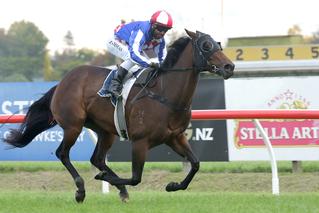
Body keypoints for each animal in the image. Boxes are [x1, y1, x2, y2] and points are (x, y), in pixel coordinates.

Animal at [3, 29, 235, 202]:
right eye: (206, 46)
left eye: (218, 44)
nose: (229, 66)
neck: (165, 94)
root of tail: (62, 82)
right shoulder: (140, 141)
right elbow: (135, 177)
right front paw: (108, 180)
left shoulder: (174, 137)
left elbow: (195, 164)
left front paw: (173, 185)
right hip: (73, 126)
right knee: (63, 153)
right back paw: (81, 190)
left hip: (105, 131)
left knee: (97, 158)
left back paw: (116, 187)